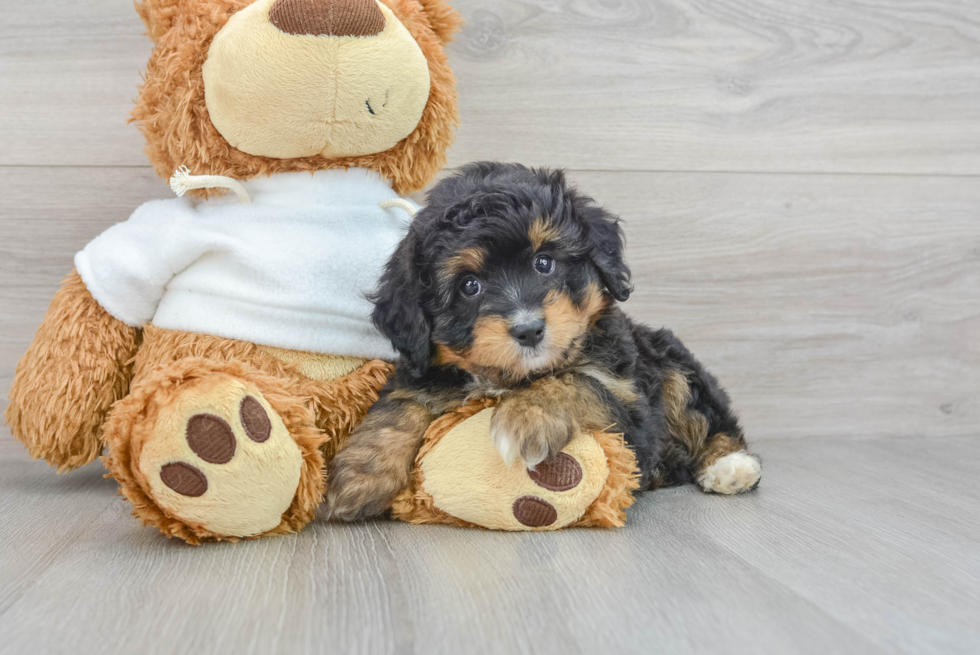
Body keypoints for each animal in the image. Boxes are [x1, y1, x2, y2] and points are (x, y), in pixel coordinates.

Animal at [326, 161, 760, 520]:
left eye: (544, 263)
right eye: (470, 286)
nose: (529, 329)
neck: (508, 378)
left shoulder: (631, 405)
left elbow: (576, 381)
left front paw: (526, 417)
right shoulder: (423, 372)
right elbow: (400, 406)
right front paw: (361, 474)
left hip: (672, 366)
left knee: (708, 416)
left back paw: (730, 466)